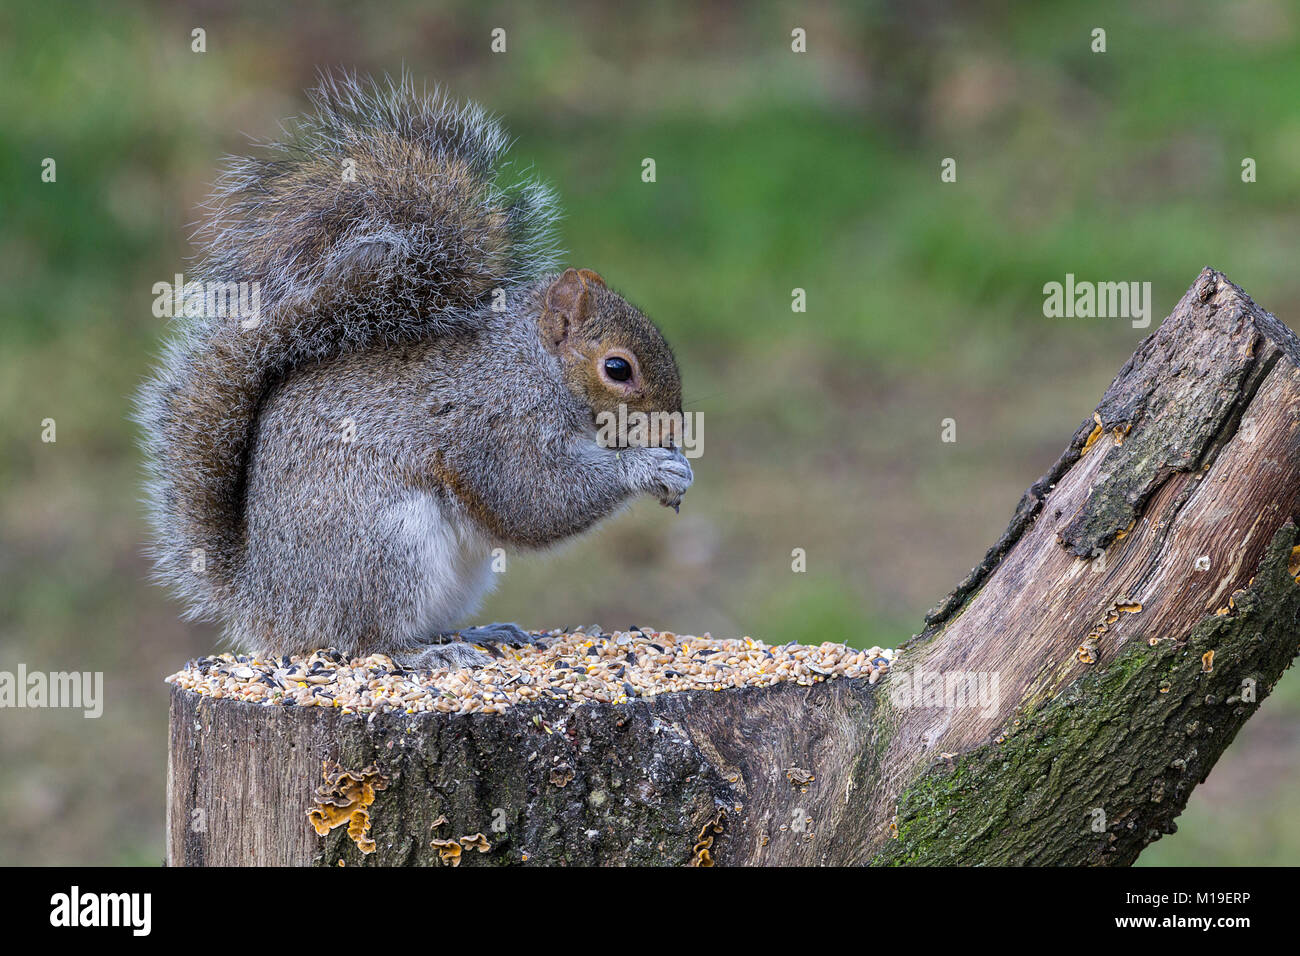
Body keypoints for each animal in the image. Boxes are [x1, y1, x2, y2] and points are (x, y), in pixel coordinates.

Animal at [135, 72, 693, 671]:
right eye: (617, 368)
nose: (674, 430)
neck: (535, 367)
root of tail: (266, 604)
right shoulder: (494, 425)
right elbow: (531, 499)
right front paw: (649, 467)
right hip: (385, 546)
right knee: (365, 640)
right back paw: (424, 655)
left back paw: (475, 633)